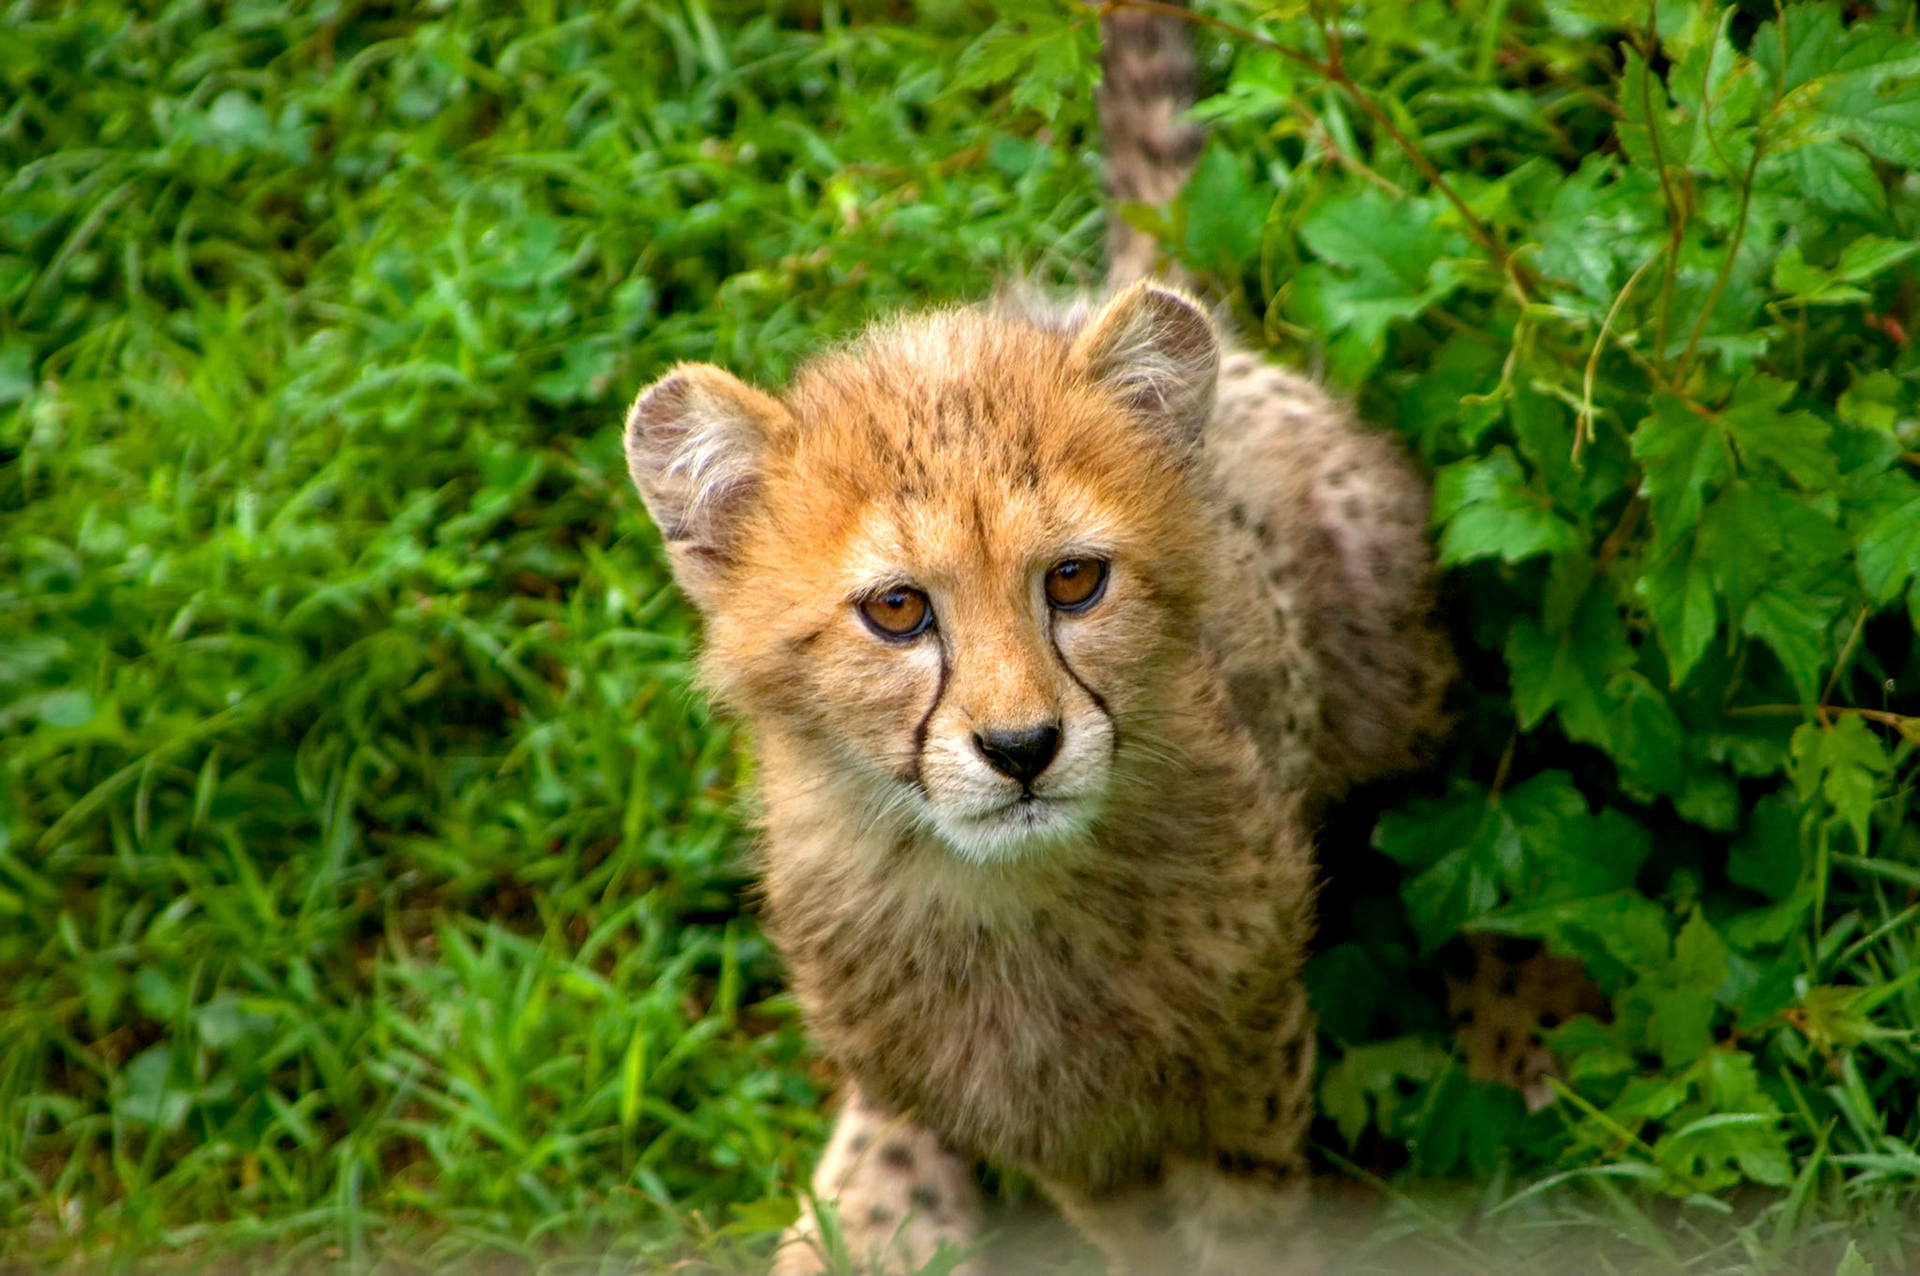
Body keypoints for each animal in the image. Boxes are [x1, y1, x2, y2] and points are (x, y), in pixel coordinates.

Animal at [619, 6, 1472, 1273]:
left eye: (1075, 580)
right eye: (896, 610)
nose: (1022, 748)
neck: (1005, 904)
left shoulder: (1250, 1052)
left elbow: (1248, 1222)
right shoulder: (1059, 1135)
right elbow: (1129, 1230)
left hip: (1395, 668)